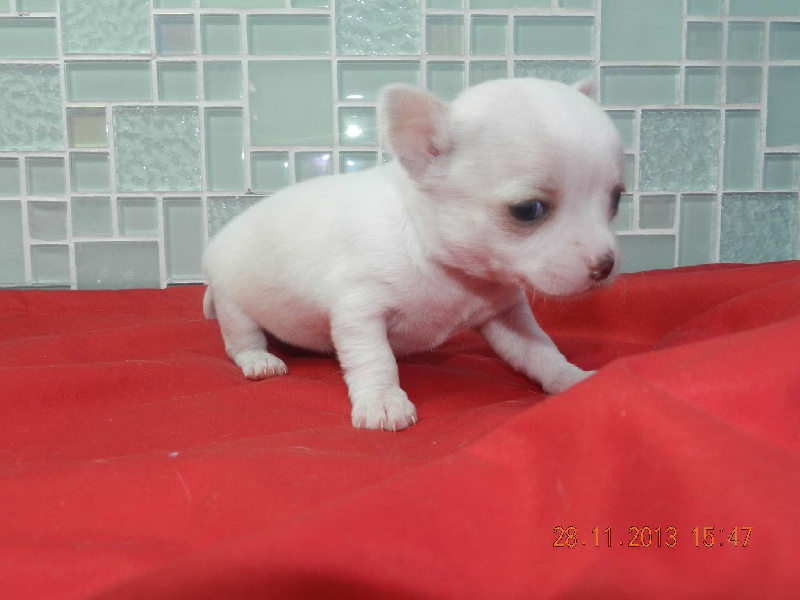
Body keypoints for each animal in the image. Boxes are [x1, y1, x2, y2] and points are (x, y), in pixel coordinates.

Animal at [202, 77, 624, 431]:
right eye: (528, 210)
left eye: (616, 200)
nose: (606, 265)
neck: (450, 272)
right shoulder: (359, 313)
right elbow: (375, 359)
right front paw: (383, 402)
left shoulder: (505, 315)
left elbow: (539, 350)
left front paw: (570, 378)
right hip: (233, 305)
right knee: (241, 341)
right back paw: (259, 361)